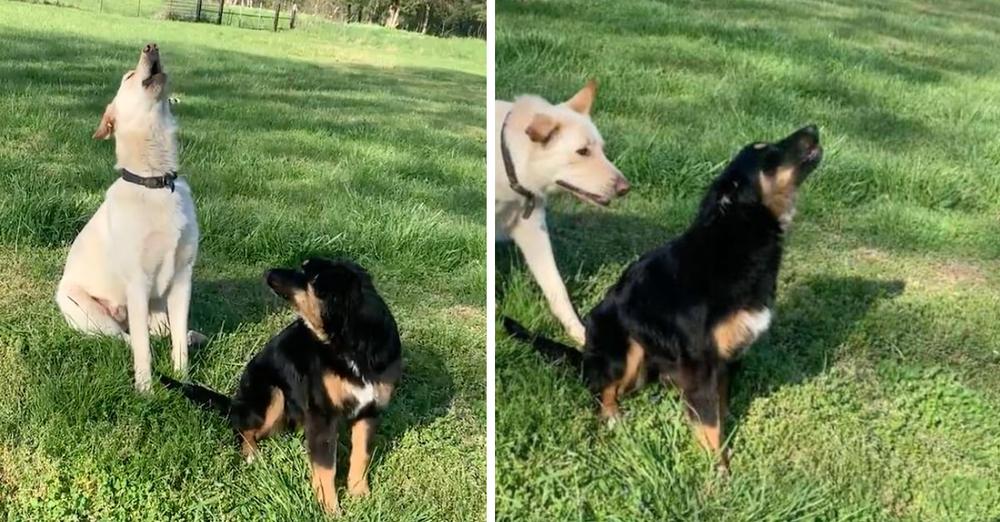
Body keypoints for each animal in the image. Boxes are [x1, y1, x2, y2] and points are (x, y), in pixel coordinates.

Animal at [57, 44, 202, 390]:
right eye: (128, 76)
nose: (151, 46)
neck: (155, 182)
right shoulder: (138, 283)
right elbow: (142, 349)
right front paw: (147, 389)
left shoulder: (182, 280)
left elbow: (177, 342)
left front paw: (183, 380)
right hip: (89, 314)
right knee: (123, 338)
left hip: (157, 307)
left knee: (162, 332)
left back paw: (193, 336)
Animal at [162, 256, 400, 512]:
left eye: (307, 274)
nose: (268, 272)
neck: (351, 346)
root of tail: (235, 401)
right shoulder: (322, 414)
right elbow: (326, 467)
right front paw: (330, 508)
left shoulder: (368, 410)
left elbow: (361, 455)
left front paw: (359, 494)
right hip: (272, 395)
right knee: (240, 427)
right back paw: (251, 454)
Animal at [496, 81, 628, 344]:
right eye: (582, 151)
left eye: (602, 149)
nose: (625, 188)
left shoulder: (533, 231)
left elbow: (557, 287)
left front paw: (579, 332)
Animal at [504, 125, 824, 468]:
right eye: (766, 149)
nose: (813, 128)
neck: (735, 238)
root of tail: (585, 353)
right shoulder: (701, 361)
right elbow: (710, 423)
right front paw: (718, 471)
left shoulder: (727, 357)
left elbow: (720, 408)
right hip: (626, 348)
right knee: (602, 391)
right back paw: (612, 418)